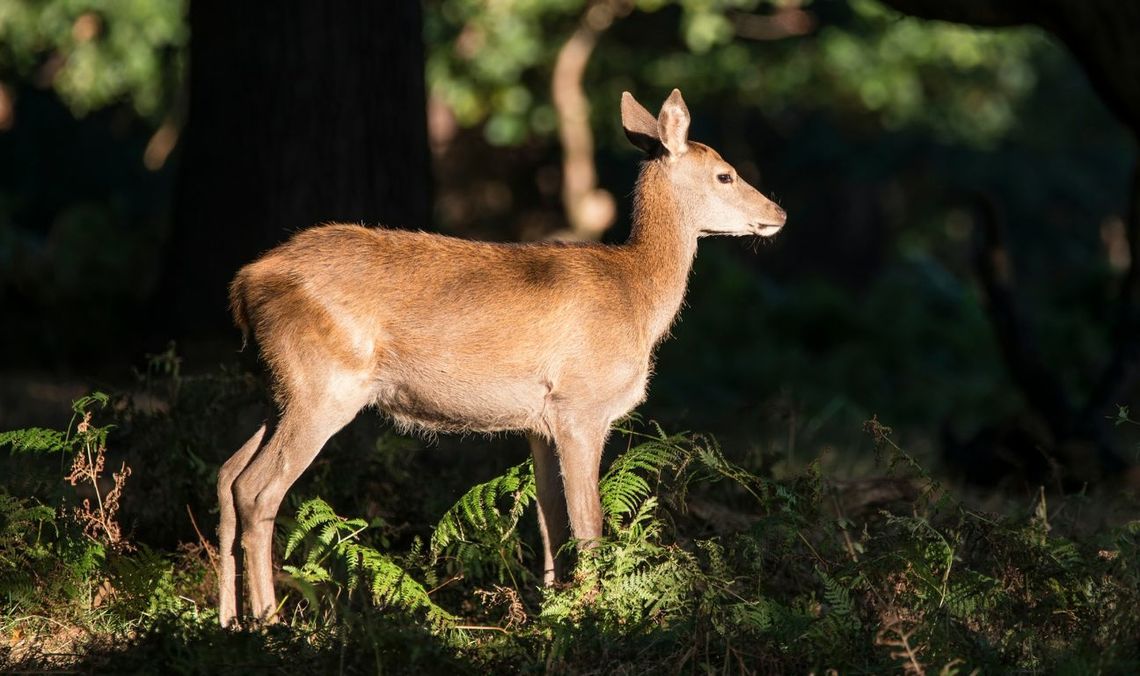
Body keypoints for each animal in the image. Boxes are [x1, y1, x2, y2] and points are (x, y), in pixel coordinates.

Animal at [215, 89, 784, 629]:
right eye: (725, 174)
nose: (779, 213)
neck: (638, 298)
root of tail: (243, 285)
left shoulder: (540, 422)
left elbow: (550, 517)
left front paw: (551, 609)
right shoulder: (581, 405)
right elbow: (588, 521)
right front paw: (596, 613)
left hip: (280, 389)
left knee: (226, 474)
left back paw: (227, 618)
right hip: (324, 386)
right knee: (257, 489)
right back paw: (269, 620)